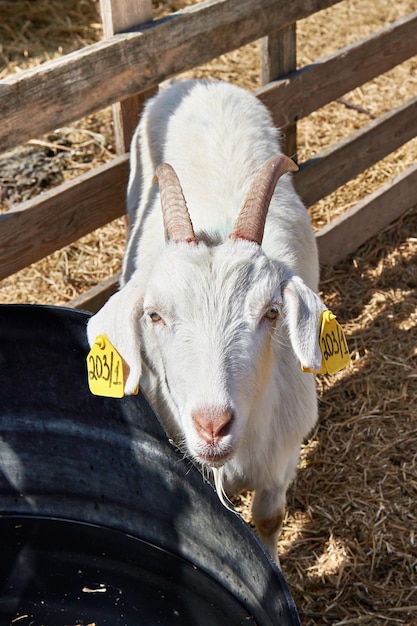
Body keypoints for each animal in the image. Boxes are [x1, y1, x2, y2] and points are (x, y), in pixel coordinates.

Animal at [87, 79, 324, 560]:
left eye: (271, 312)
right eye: (154, 315)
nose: (213, 426)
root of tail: (199, 82)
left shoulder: (282, 458)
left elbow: (268, 519)